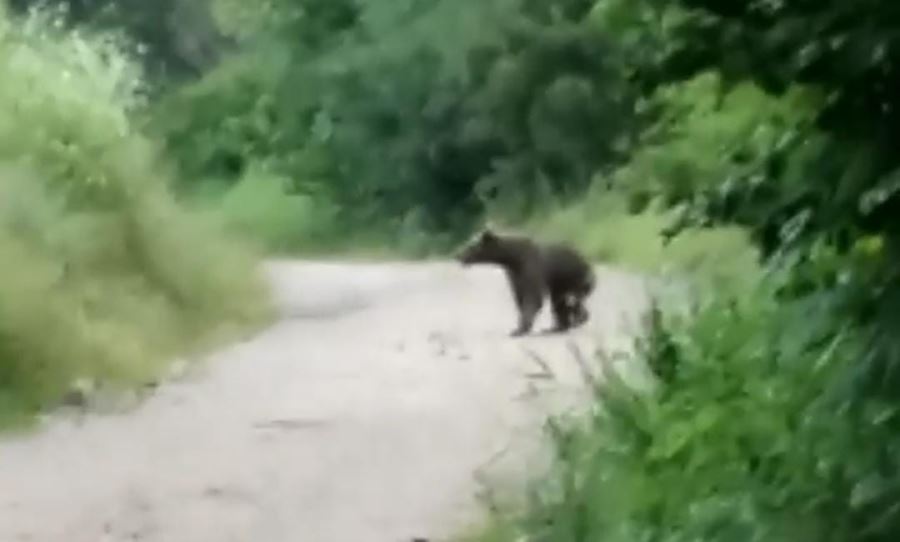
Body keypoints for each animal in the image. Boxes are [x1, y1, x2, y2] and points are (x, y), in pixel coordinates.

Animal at [458, 224, 596, 336]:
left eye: (471, 246)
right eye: (468, 242)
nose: (459, 255)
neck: (513, 259)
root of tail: (587, 262)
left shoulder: (531, 267)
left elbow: (533, 297)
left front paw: (519, 330)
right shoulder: (515, 275)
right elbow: (519, 296)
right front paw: (519, 327)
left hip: (576, 278)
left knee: (572, 299)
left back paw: (578, 319)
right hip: (561, 283)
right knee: (560, 301)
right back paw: (557, 327)